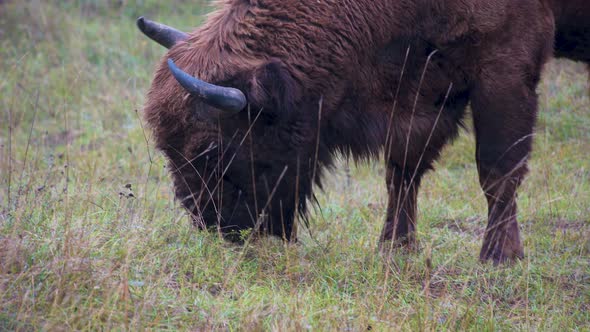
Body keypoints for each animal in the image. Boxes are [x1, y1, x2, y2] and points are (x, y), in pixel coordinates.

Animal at [140, 0, 590, 264]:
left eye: (213, 149)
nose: (217, 227)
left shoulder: (505, 67)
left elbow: (498, 170)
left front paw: (500, 256)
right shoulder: (421, 87)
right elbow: (402, 171)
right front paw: (395, 247)